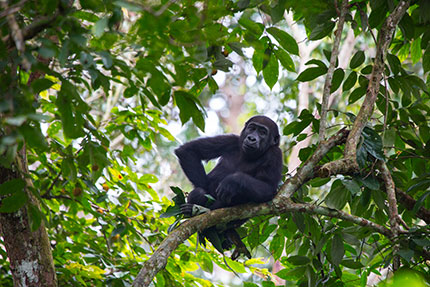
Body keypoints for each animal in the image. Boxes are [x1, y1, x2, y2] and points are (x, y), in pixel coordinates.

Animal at [175, 116, 282, 260]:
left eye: (262, 132)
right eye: (252, 128)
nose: (251, 138)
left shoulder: (275, 154)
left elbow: (268, 189)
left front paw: (233, 181)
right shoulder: (230, 140)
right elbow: (189, 151)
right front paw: (206, 197)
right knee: (199, 191)